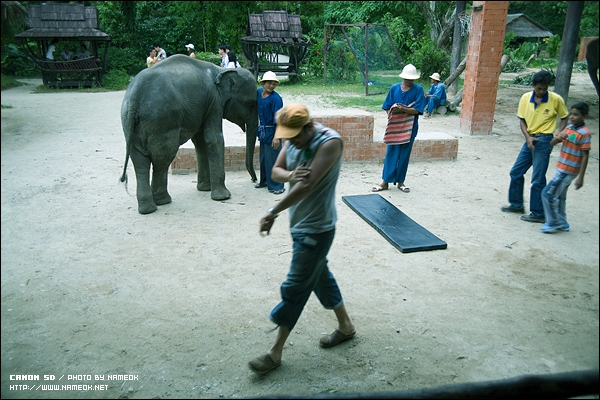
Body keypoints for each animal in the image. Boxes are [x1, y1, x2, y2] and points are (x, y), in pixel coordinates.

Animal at [119, 55, 258, 216]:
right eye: (250, 104)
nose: (254, 180)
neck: (221, 70)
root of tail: (134, 100)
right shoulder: (214, 102)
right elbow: (213, 139)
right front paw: (223, 197)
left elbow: (200, 142)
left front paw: (205, 189)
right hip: (161, 124)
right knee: (162, 159)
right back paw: (162, 201)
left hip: (131, 126)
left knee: (140, 161)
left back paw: (147, 209)